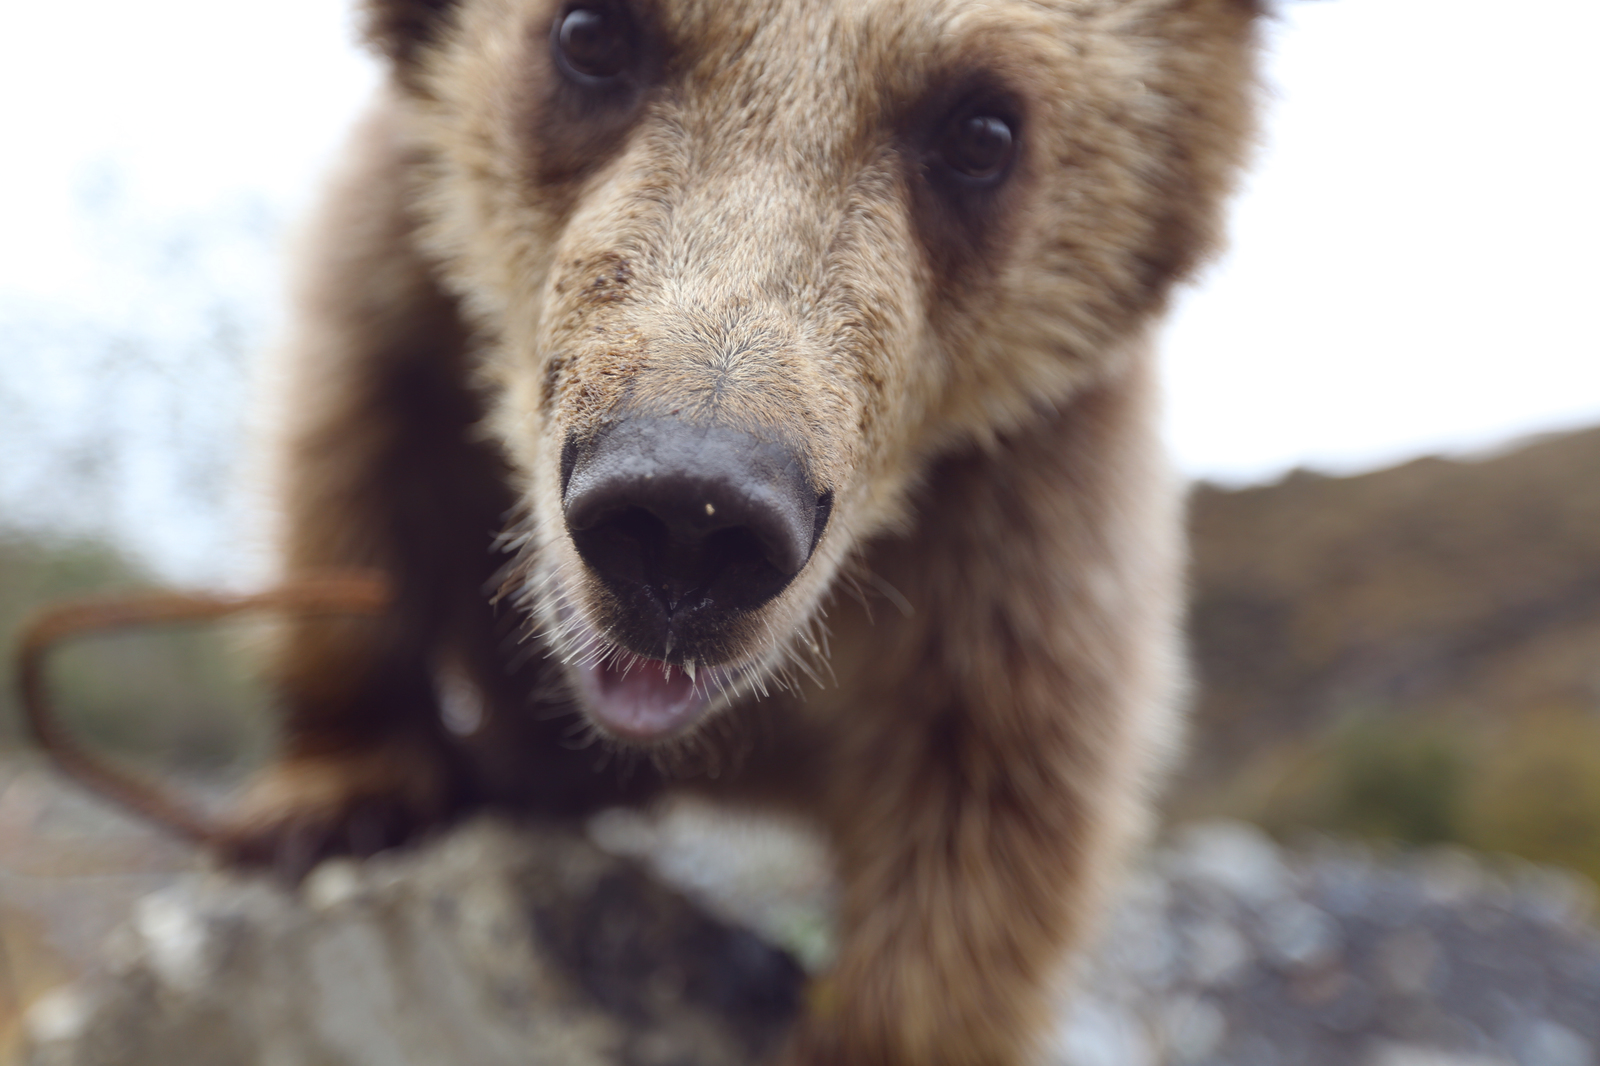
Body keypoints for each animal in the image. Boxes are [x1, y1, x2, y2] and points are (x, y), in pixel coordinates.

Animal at [232, 4, 1267, 1056]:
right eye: (590, 34)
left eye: (983, 129)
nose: (689, 516)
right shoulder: (399, 266)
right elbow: (352, 446)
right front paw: (336, 800)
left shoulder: (1027, 504)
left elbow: (1007, 770)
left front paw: (869, 1028)